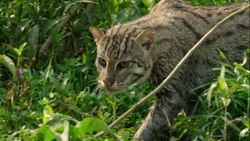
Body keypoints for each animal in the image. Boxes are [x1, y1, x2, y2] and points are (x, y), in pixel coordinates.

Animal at [90, 0, 250, 140]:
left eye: (124, 64)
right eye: (102, 61)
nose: (106, 82)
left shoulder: (175, 93)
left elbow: (149, 126)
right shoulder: (192, 95)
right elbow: (193, 124)